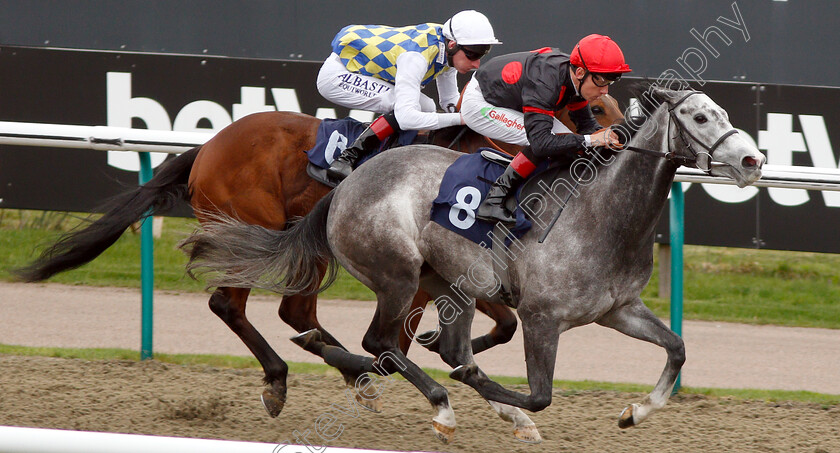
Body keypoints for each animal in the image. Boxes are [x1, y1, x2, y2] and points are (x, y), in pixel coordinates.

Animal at [14, 95, 624, 416]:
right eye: (596, 103)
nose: (613, 144)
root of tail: (206, 148)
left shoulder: (465, 266)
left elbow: (496, 324)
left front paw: (438, 351)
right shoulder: (428, 269)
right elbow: (406, 337)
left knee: (296, 313)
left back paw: (342, 371)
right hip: (257, 228)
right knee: (234, 306)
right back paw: (285, 377)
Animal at [179, 85, 768, 442]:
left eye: (724, 113)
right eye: (699, 116)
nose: (752, 159)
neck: (602, 213)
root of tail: (347, 182)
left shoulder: (617, 308)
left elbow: (677, 348)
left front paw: (636, 411)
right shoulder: (542, 317)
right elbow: (540, 395)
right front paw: (498, 399)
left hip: (445, 282)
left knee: (402, 343)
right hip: (397, 275)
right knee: (376, 343)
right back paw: (420, 395)